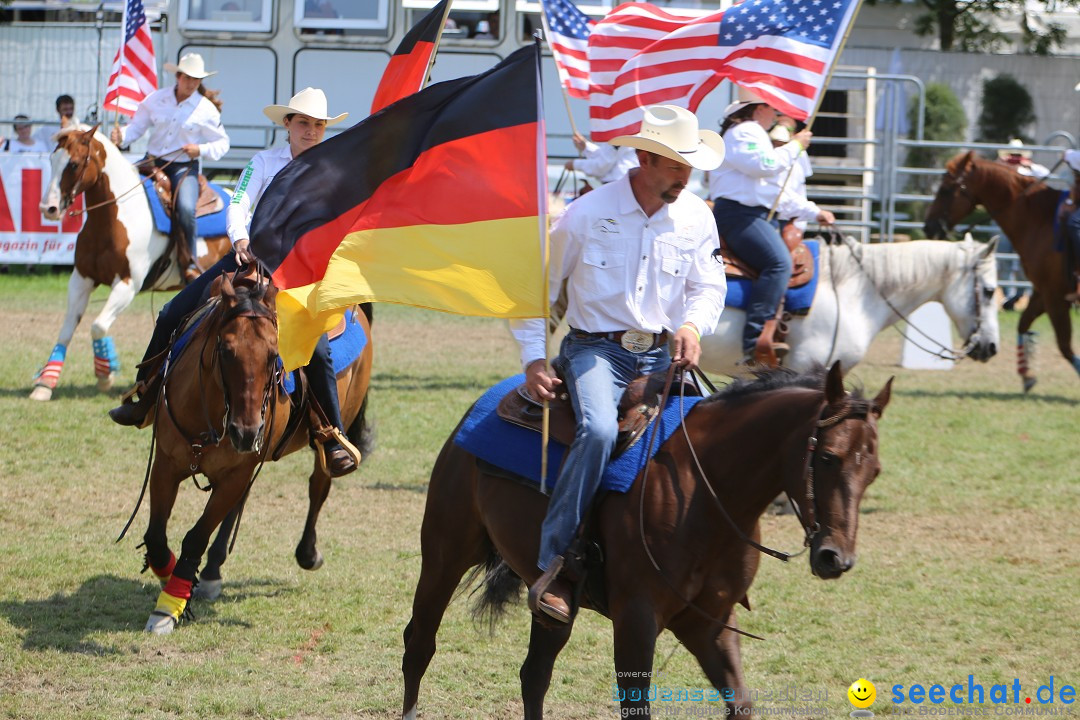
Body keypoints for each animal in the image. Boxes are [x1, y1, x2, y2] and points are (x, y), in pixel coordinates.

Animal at [32, 126, 230, 403]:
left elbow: (98, 326)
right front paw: (45, 383)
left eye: (73, 164)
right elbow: (68, 328)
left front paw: (105, 374)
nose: (47, 208)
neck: (113, 217)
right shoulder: (81, 279)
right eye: (52, 159)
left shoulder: (128, 284)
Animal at [134, 269, 373, 634]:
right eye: (224, 349)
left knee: (319, 484)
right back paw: (212, 572)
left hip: (336, 424)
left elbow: (195, 537)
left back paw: (308, 552)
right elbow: (157, 537)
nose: (246, 432)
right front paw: (174, 583)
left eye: (275, 354)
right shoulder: (166, 464)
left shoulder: (235, 473)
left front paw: (169, 605)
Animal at [401, 362, 889, 716]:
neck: (705, 489)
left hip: (555, 603)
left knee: (534, 674)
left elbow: (741, 702)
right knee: (419, 643)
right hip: (445, 553)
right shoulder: (636, 619)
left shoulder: (709, 622)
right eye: (827, 457)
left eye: (875, 471)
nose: (836, 558)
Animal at [920, 148, 1080, 390]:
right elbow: (1023, 324)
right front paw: (1026, 374)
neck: (1039, 220)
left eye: (946, 189)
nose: (929, 227)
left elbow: (1065, 346)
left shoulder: (1055, 297)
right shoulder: (1042, 293)